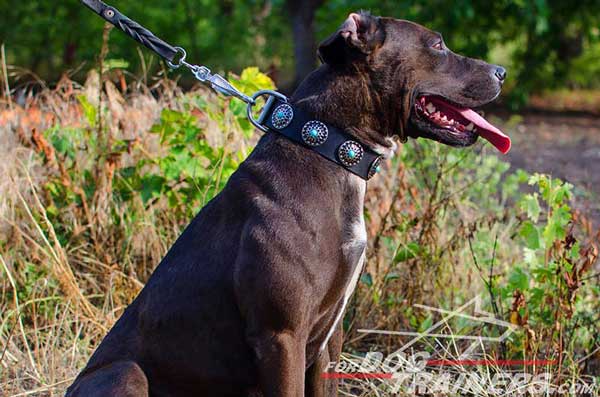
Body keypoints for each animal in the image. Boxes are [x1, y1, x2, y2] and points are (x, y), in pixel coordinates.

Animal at [67, 12, 506, 396]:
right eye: (437, 45)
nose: (501, 71)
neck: (327, 145)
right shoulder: (281, 337)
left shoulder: (327, 341)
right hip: (126, 373)